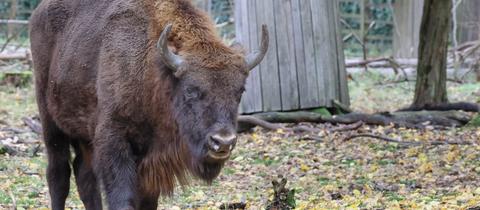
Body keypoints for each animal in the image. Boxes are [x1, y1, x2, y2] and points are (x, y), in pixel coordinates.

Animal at [29, 0, 270, 208]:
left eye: (240, 90)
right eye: (191, 90)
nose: (223, 142)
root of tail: (38, 13)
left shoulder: (153, 163)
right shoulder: (113, 140)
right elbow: (121, 197)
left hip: (83, 135)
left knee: (84, 176)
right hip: (51, 123)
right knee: (58, 175)